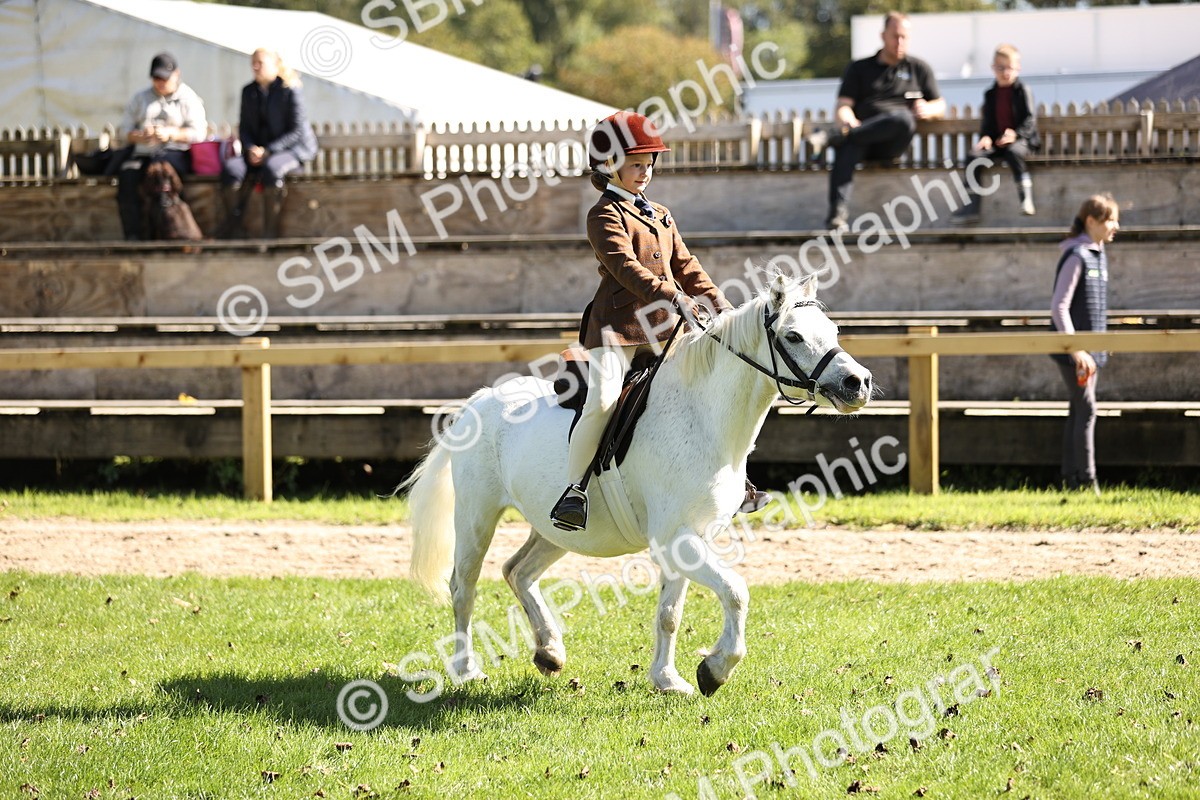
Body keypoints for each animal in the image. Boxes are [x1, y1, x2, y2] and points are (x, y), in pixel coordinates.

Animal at [401, 273, 873, 696]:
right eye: (793, 336)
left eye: (833, 331)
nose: (858, 383)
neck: (703, 419)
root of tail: (480, 399)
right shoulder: (675, 539)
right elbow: (736, 592)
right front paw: (716, 669)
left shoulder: (691, 538)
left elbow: (670, 612)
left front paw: (669, 680)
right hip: (476, 516)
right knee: (464, 587)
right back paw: (467, 670)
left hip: (556, 530)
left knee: (518, 571)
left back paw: (549, 652)